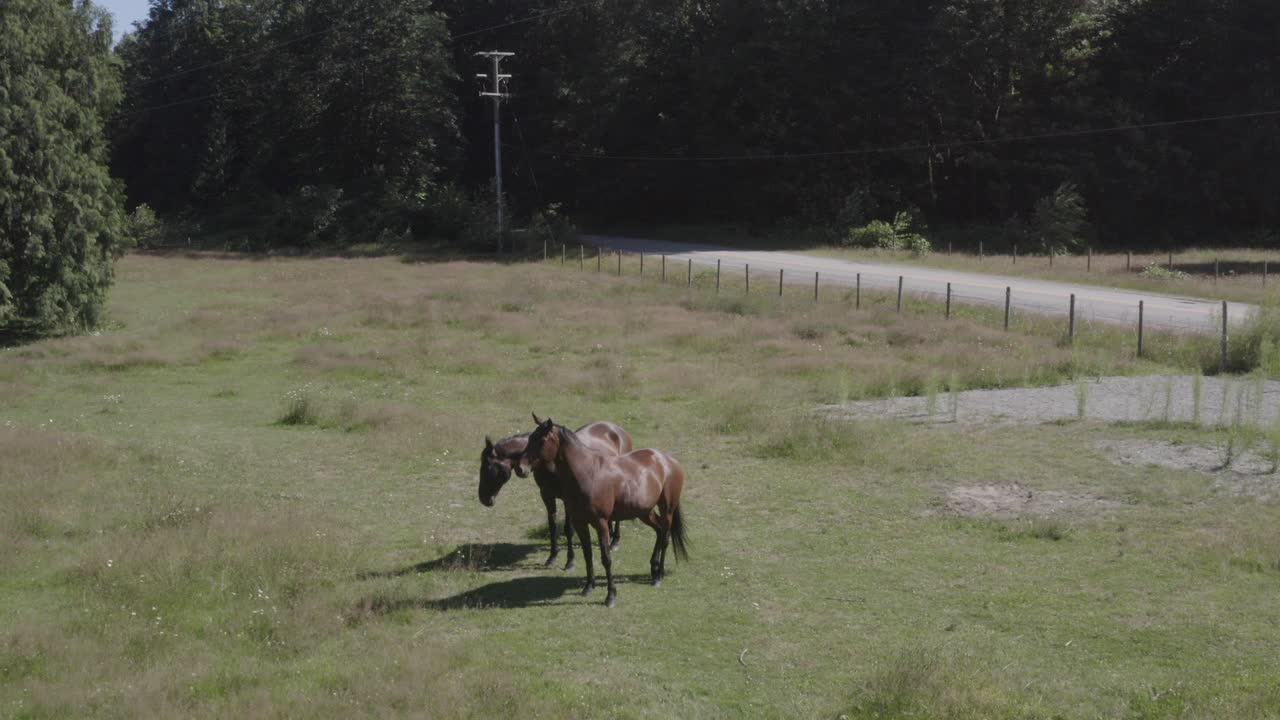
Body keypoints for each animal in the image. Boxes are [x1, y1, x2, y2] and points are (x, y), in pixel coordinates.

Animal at [479, 418, 631, 570]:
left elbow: (568, 529)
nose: (483, 499)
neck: (552, 465)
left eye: (488, 468)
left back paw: (615, 541)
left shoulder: (568, 500)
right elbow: (552, 526)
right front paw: (552, 558)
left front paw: (570, 561)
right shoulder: (547, 495)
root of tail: (616, 429)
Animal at [517, 416, 688, 608]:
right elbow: (587, 555)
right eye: (530, 438)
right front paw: (588, 587)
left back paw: (659, 576)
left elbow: (606, 558)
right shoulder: (580, 523)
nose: (520, 468)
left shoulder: (601, 523)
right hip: (645, 512)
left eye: (542, 440)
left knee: (665, 537)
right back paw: (654, 568)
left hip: (667, 509)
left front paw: (610, 595)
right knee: (659, 531)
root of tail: (668, 461)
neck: (588, 474)